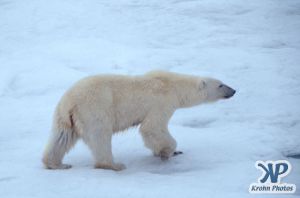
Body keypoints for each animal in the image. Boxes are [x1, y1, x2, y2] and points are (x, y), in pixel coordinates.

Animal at [42, 70, 236, 170]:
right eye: (220, 84)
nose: (234, 90)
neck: (173, 85)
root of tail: (69, 101)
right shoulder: (162, 102)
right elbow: (152, 128)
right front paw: (167, 152)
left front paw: (173, 152)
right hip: (95, 109)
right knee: (100, 136)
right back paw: (114, 165)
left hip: (65, 117)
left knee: (61, 137)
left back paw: (56, 164)